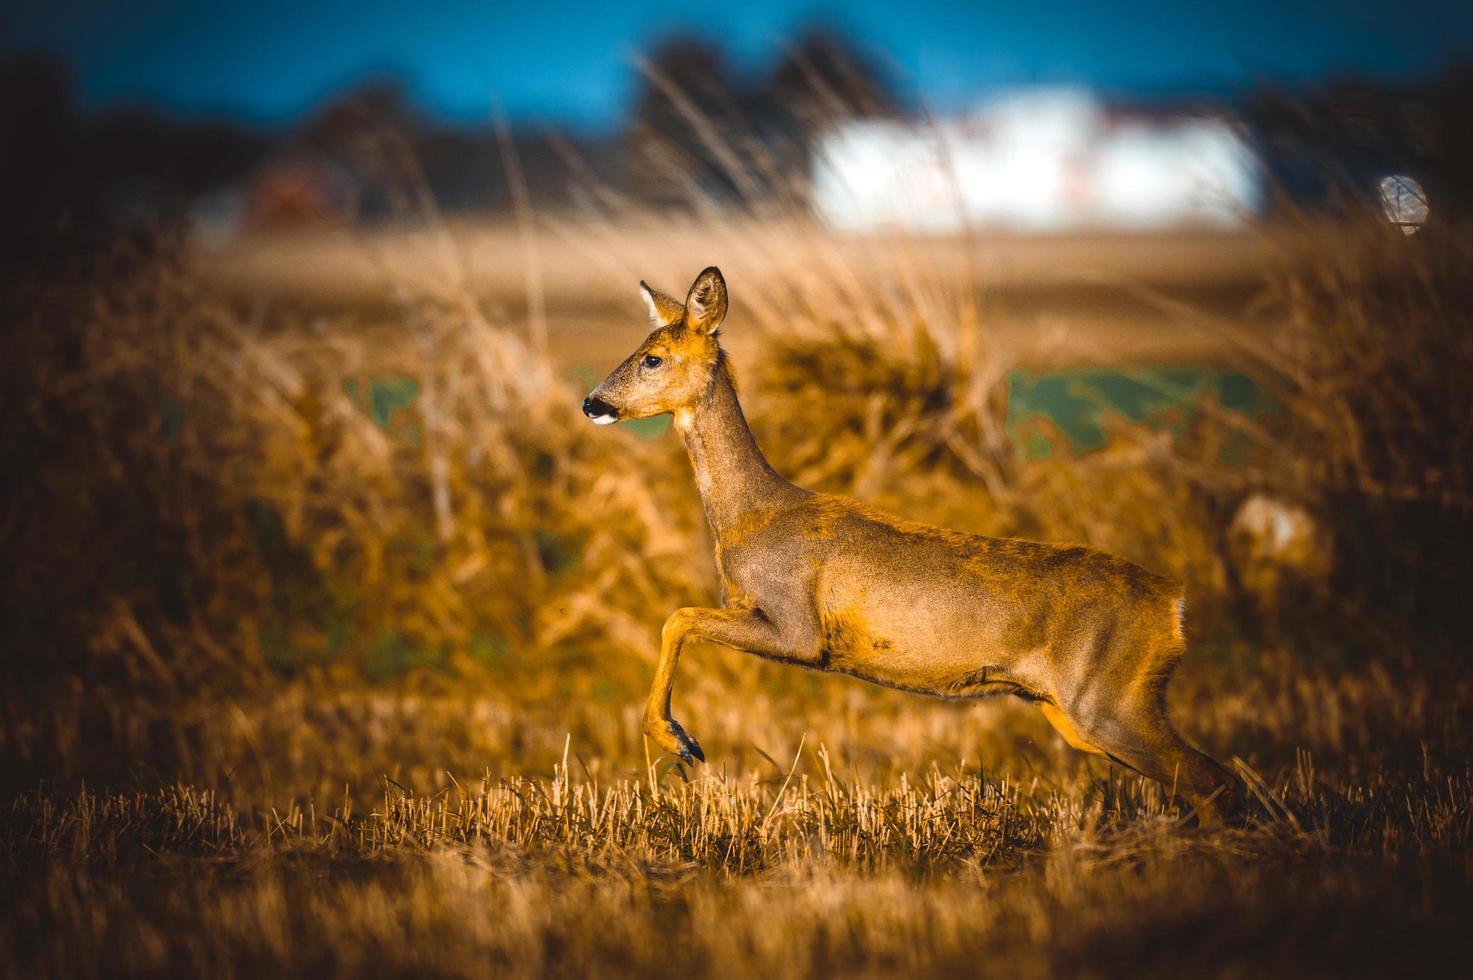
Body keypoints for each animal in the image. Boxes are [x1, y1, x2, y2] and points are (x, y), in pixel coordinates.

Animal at [580, 263, 1237, 819]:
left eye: (652, 358)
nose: (592, 402)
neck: (750, 517)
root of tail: (1173, 603)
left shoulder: (798, 629)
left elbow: (678, 617)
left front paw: (680, 740)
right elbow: (681, 618)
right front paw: (680, 739)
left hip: (1109, 699)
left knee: (1214, 778)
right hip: (1077, 712)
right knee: (1205, 778)